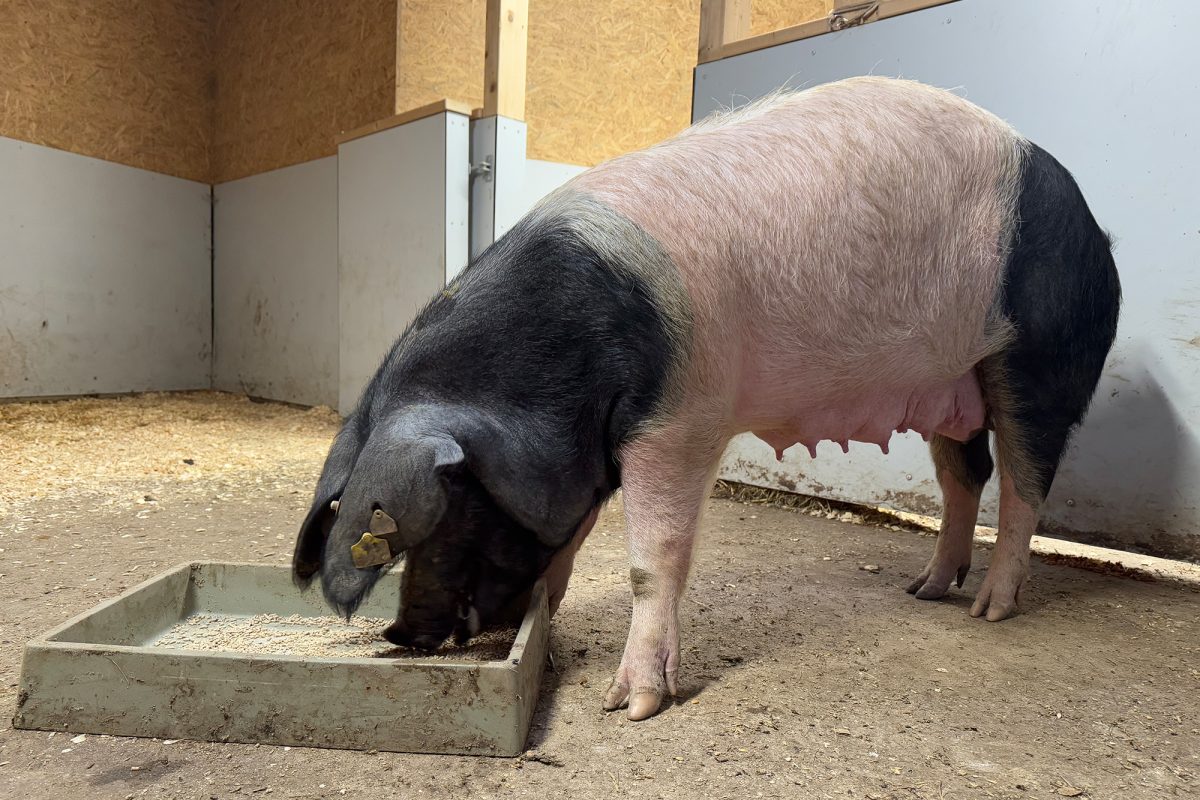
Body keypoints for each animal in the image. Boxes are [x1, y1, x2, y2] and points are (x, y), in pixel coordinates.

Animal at [295, 77, 1118, 724]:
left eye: (456, 506)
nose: (400, 635)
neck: (558, 366)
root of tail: (1098, 232)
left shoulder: (681, 421)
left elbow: (650, 559)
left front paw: (630, 707)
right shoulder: (593, 448)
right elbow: (570, 539)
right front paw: (549, 626)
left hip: (1039, 360)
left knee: (1025, 483)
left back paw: (991, 608)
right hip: (951, 383)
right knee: (963, 477)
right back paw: (925, 589)